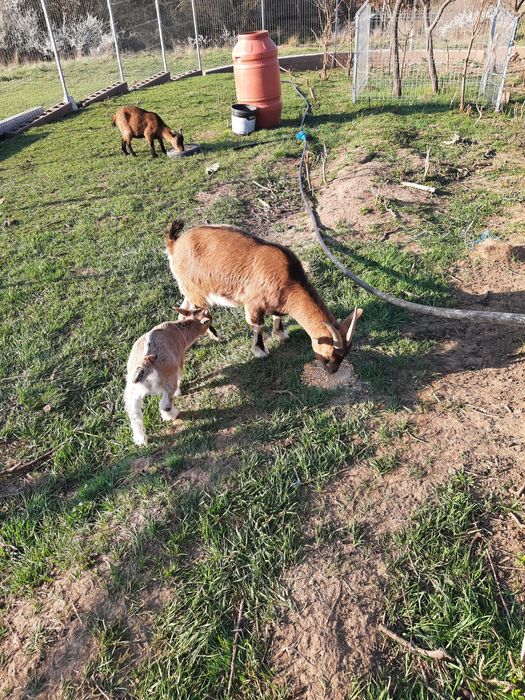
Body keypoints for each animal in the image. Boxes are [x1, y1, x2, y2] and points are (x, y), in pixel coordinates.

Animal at [124, 307, 211, 446]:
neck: (180, 329)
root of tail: (147, 361)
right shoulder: (179, 361)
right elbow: (180, 375)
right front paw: (179, 392)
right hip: (168, 380)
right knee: (166, 404)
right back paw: (172, 415)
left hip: (132, 390)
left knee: (135, 414)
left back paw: (141, 440)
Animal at [164, 221, 362, 374]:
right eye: (329, 356)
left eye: (345, 355)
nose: (332, 371)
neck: (290, 279)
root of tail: (174, 244)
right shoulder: (254, 303)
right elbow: (257, 326)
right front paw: (260, 351)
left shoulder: (277, 301)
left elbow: (277, 316)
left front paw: (281, 334)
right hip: (196, 289)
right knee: (200, 311)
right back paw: (217, 336)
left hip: (189, 290)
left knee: (184, 310)